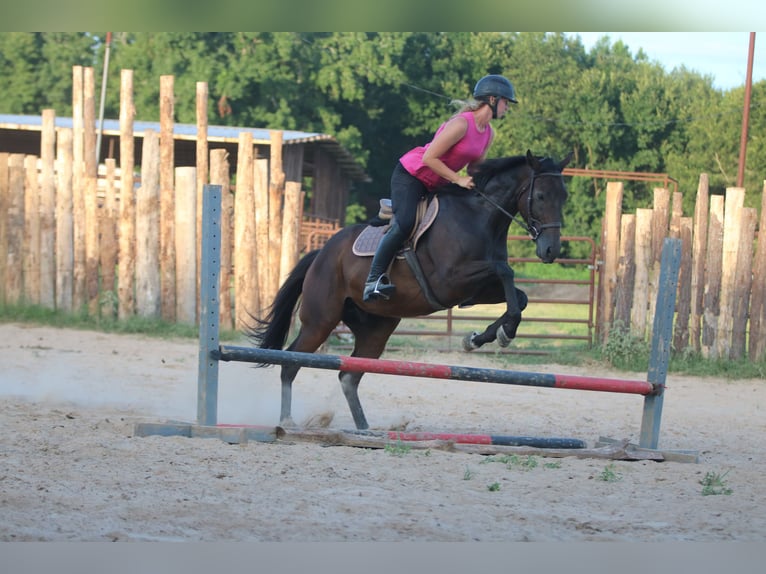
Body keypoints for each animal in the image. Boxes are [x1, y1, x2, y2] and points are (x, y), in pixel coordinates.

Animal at [248, 149, 573, 430]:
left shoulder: (475, 291)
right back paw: (287, 421)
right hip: (321, 321)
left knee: (349, 375)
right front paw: (501, 334)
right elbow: (506, 272)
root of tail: (321, 254)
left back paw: (366, 429)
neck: (480, 217)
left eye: (564, 197)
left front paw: (483, 337)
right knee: (291, 363)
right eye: (540, 196)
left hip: (377, 328)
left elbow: (519, 296)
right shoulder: (451, 281)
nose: (550, 250)